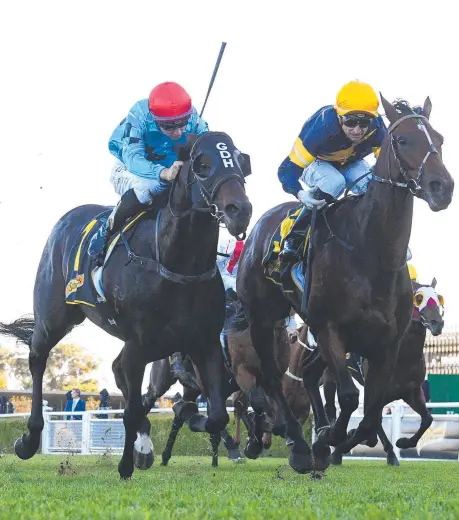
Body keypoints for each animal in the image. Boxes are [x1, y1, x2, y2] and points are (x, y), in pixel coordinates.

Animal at [0, 131, 252, 480]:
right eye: (202, 165)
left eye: (241, 161)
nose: (239, 209)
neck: (175, 263)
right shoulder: (140, 344)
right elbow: (132, 409)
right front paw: (125, 464)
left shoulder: (204, 342)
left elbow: (216, 415)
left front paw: (190, 419)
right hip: (55, 316)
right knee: (38, 358)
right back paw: (29, 439)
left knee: (122, 373)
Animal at [239, 95, 454, 474]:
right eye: (402, 140)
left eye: (440, 139)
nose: (441, 187)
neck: (371, 252)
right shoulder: (329, 328)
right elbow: (352, 398)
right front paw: (324, 441)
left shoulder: (387, 342)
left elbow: (371, 414)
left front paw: (337, 441)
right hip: (262, 318)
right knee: (271, 376)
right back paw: (295, 443)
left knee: (308, 375)